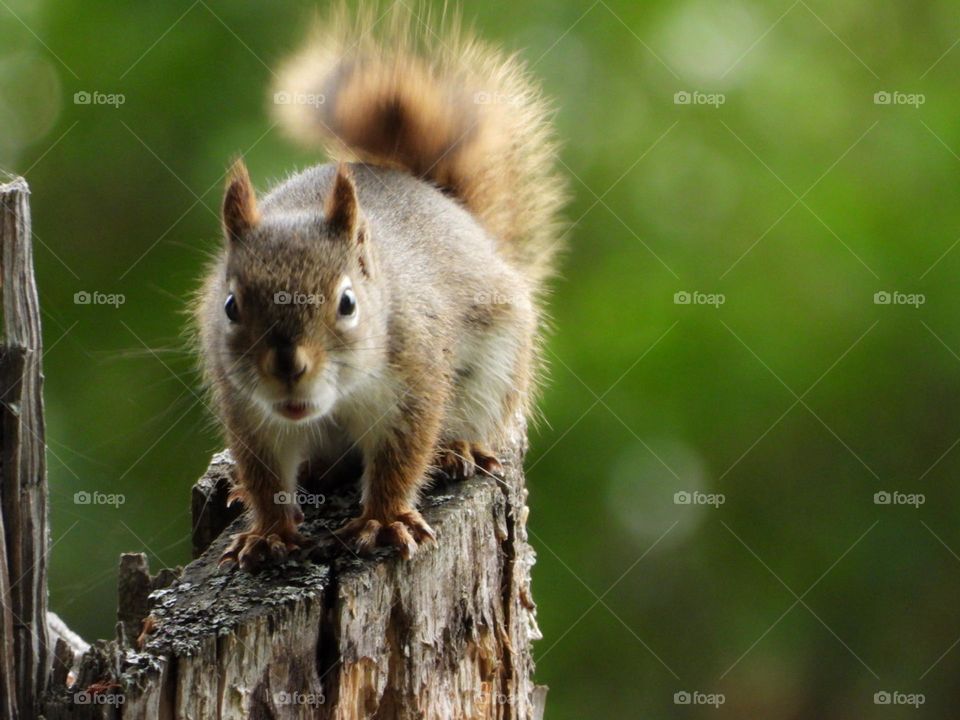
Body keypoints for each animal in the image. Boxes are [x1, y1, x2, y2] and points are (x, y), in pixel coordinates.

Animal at [194, 3, 566, 570]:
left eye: (347, 302)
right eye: (231, 306)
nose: (287, 368)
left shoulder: (414, 382)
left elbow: (399, 458)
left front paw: (384, 522)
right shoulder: (249, 410)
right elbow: (264, 474)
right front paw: (267, 534)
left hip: (496, 372)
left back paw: (456, 450)